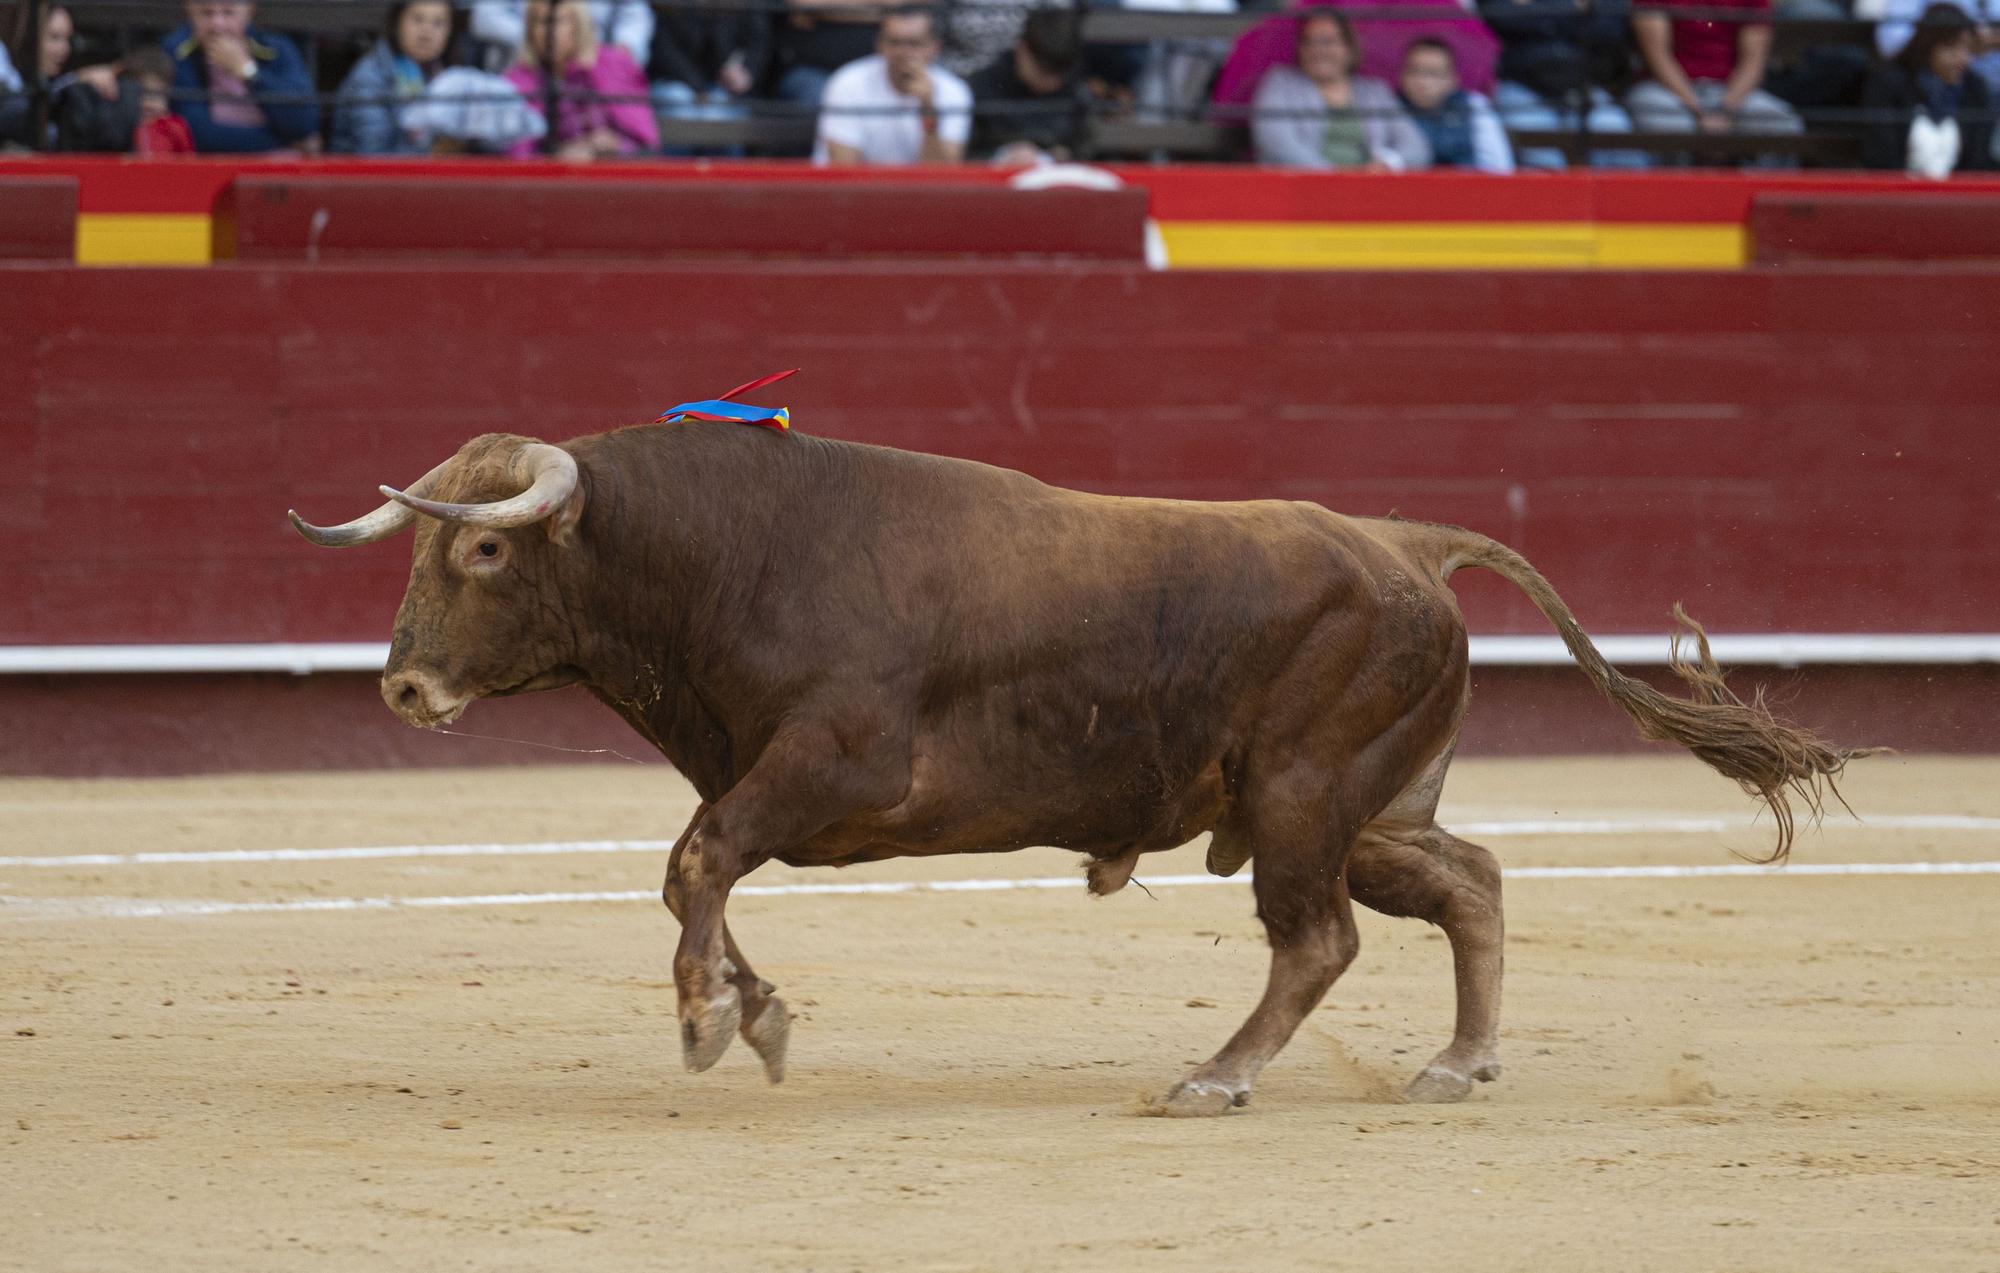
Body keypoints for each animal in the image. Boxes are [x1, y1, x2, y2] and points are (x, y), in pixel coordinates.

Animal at [290, 420, 1864, 1112]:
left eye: (483, 553)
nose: (404, 684)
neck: (727, 552)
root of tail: (1402, 543)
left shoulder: (831, 772)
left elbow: (696, 860)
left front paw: (710, 1017)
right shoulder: (759, 777)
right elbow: (700, 870)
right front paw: (756, 1009)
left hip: (1301, 797)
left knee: (1319, 939)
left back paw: (1216, 1079)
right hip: (1358, 805)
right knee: (1466, 880)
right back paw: (1455, 1063)